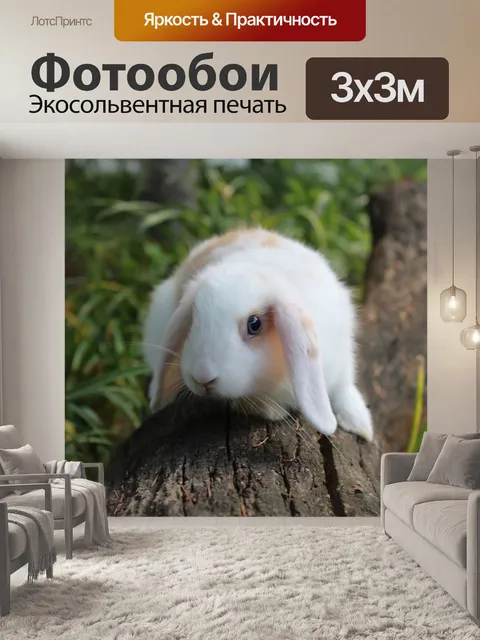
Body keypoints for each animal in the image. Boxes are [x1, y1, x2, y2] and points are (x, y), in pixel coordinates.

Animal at [143, 227, 374, 442]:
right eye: (194, 318)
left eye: (254, 324)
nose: (202, 378)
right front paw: (270, 410)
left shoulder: (342, 358)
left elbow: (344, 390)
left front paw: (361, 427)